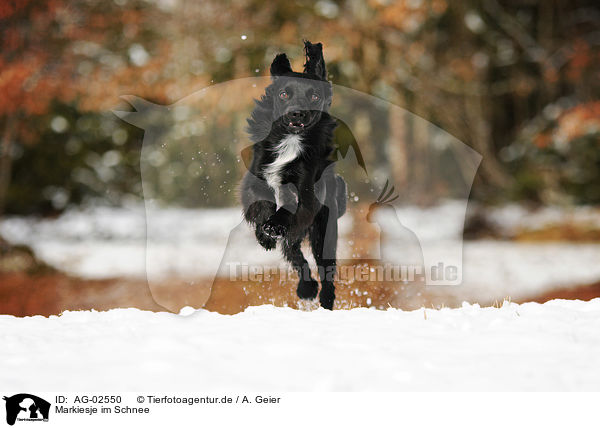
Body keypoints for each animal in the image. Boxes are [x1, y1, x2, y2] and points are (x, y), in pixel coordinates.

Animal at [240, 41, 346, 308]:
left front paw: (273, 226)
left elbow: (288, 208)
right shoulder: (255, 179)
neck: (290, 140)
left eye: (315, 96)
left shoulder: (307, 194)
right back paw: (306, 287)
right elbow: (262, 204)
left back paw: (324, 299)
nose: (297, 113)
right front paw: (265, 235)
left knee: (324, 268)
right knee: (295, 254)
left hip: (324, 230)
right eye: (283, 94)